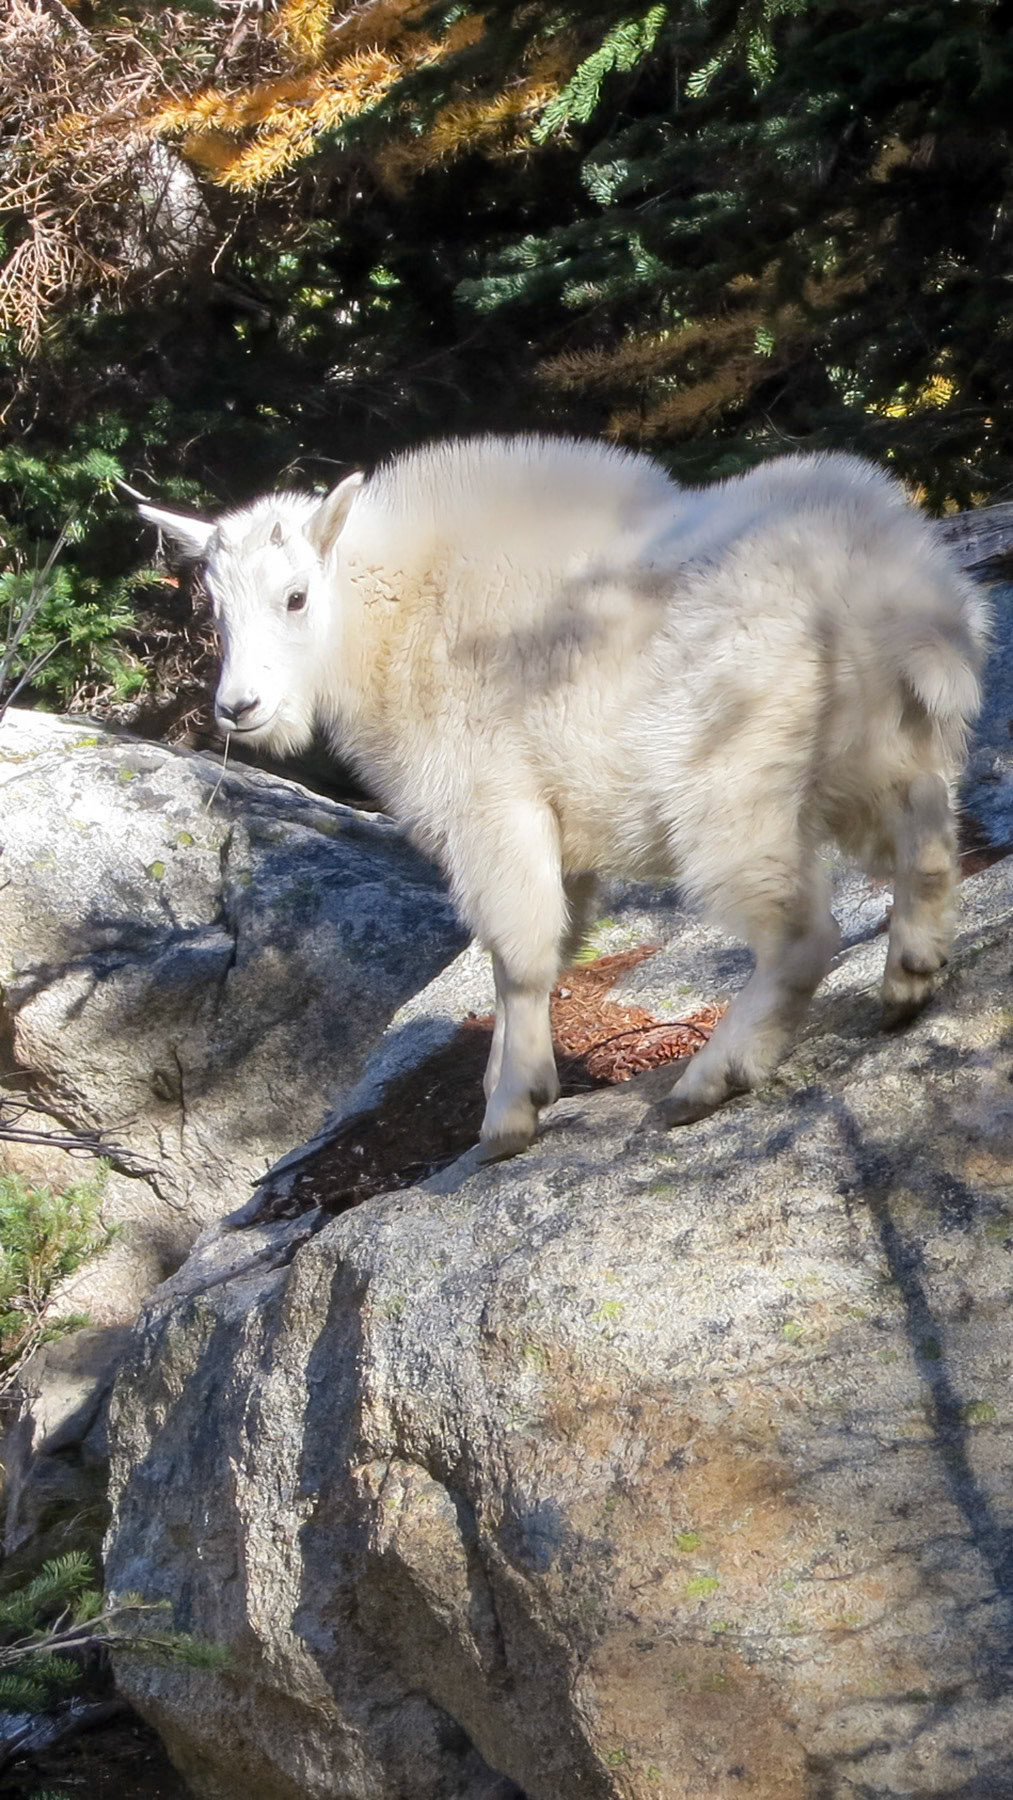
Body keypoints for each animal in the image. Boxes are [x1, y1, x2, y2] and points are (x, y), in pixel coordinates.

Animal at [139, 435, 990, 1160]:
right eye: (215, 606)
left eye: (294, 597)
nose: (239, 708)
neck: (396, 618)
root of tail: (898, 584)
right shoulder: (557, 829)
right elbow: (540, 952)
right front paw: (511, 1080)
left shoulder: (490, 806)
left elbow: (519, 955)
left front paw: (509, 1113)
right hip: (881, 747)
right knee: (926, 840)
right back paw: (909, 978)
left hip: (731, 783)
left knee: (801, 932)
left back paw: (710, 1078)